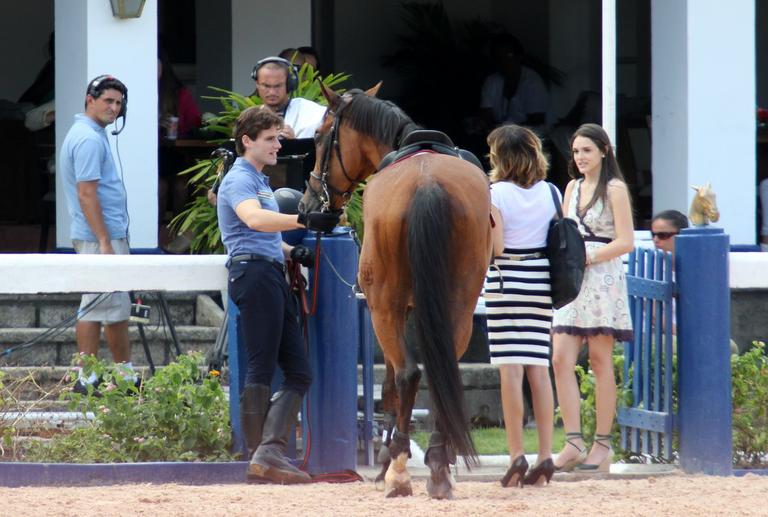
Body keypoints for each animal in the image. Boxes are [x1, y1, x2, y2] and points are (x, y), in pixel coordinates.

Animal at [300, 84, 492, 500]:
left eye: (320, 136)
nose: (309, 203)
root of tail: (427, 184)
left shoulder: (391, 310)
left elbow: (389, 385)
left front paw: (388, 458)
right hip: (460, 304)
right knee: (441, 369)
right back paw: (438, 468)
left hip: (383, 306)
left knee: (407, 374)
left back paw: (399, 470)